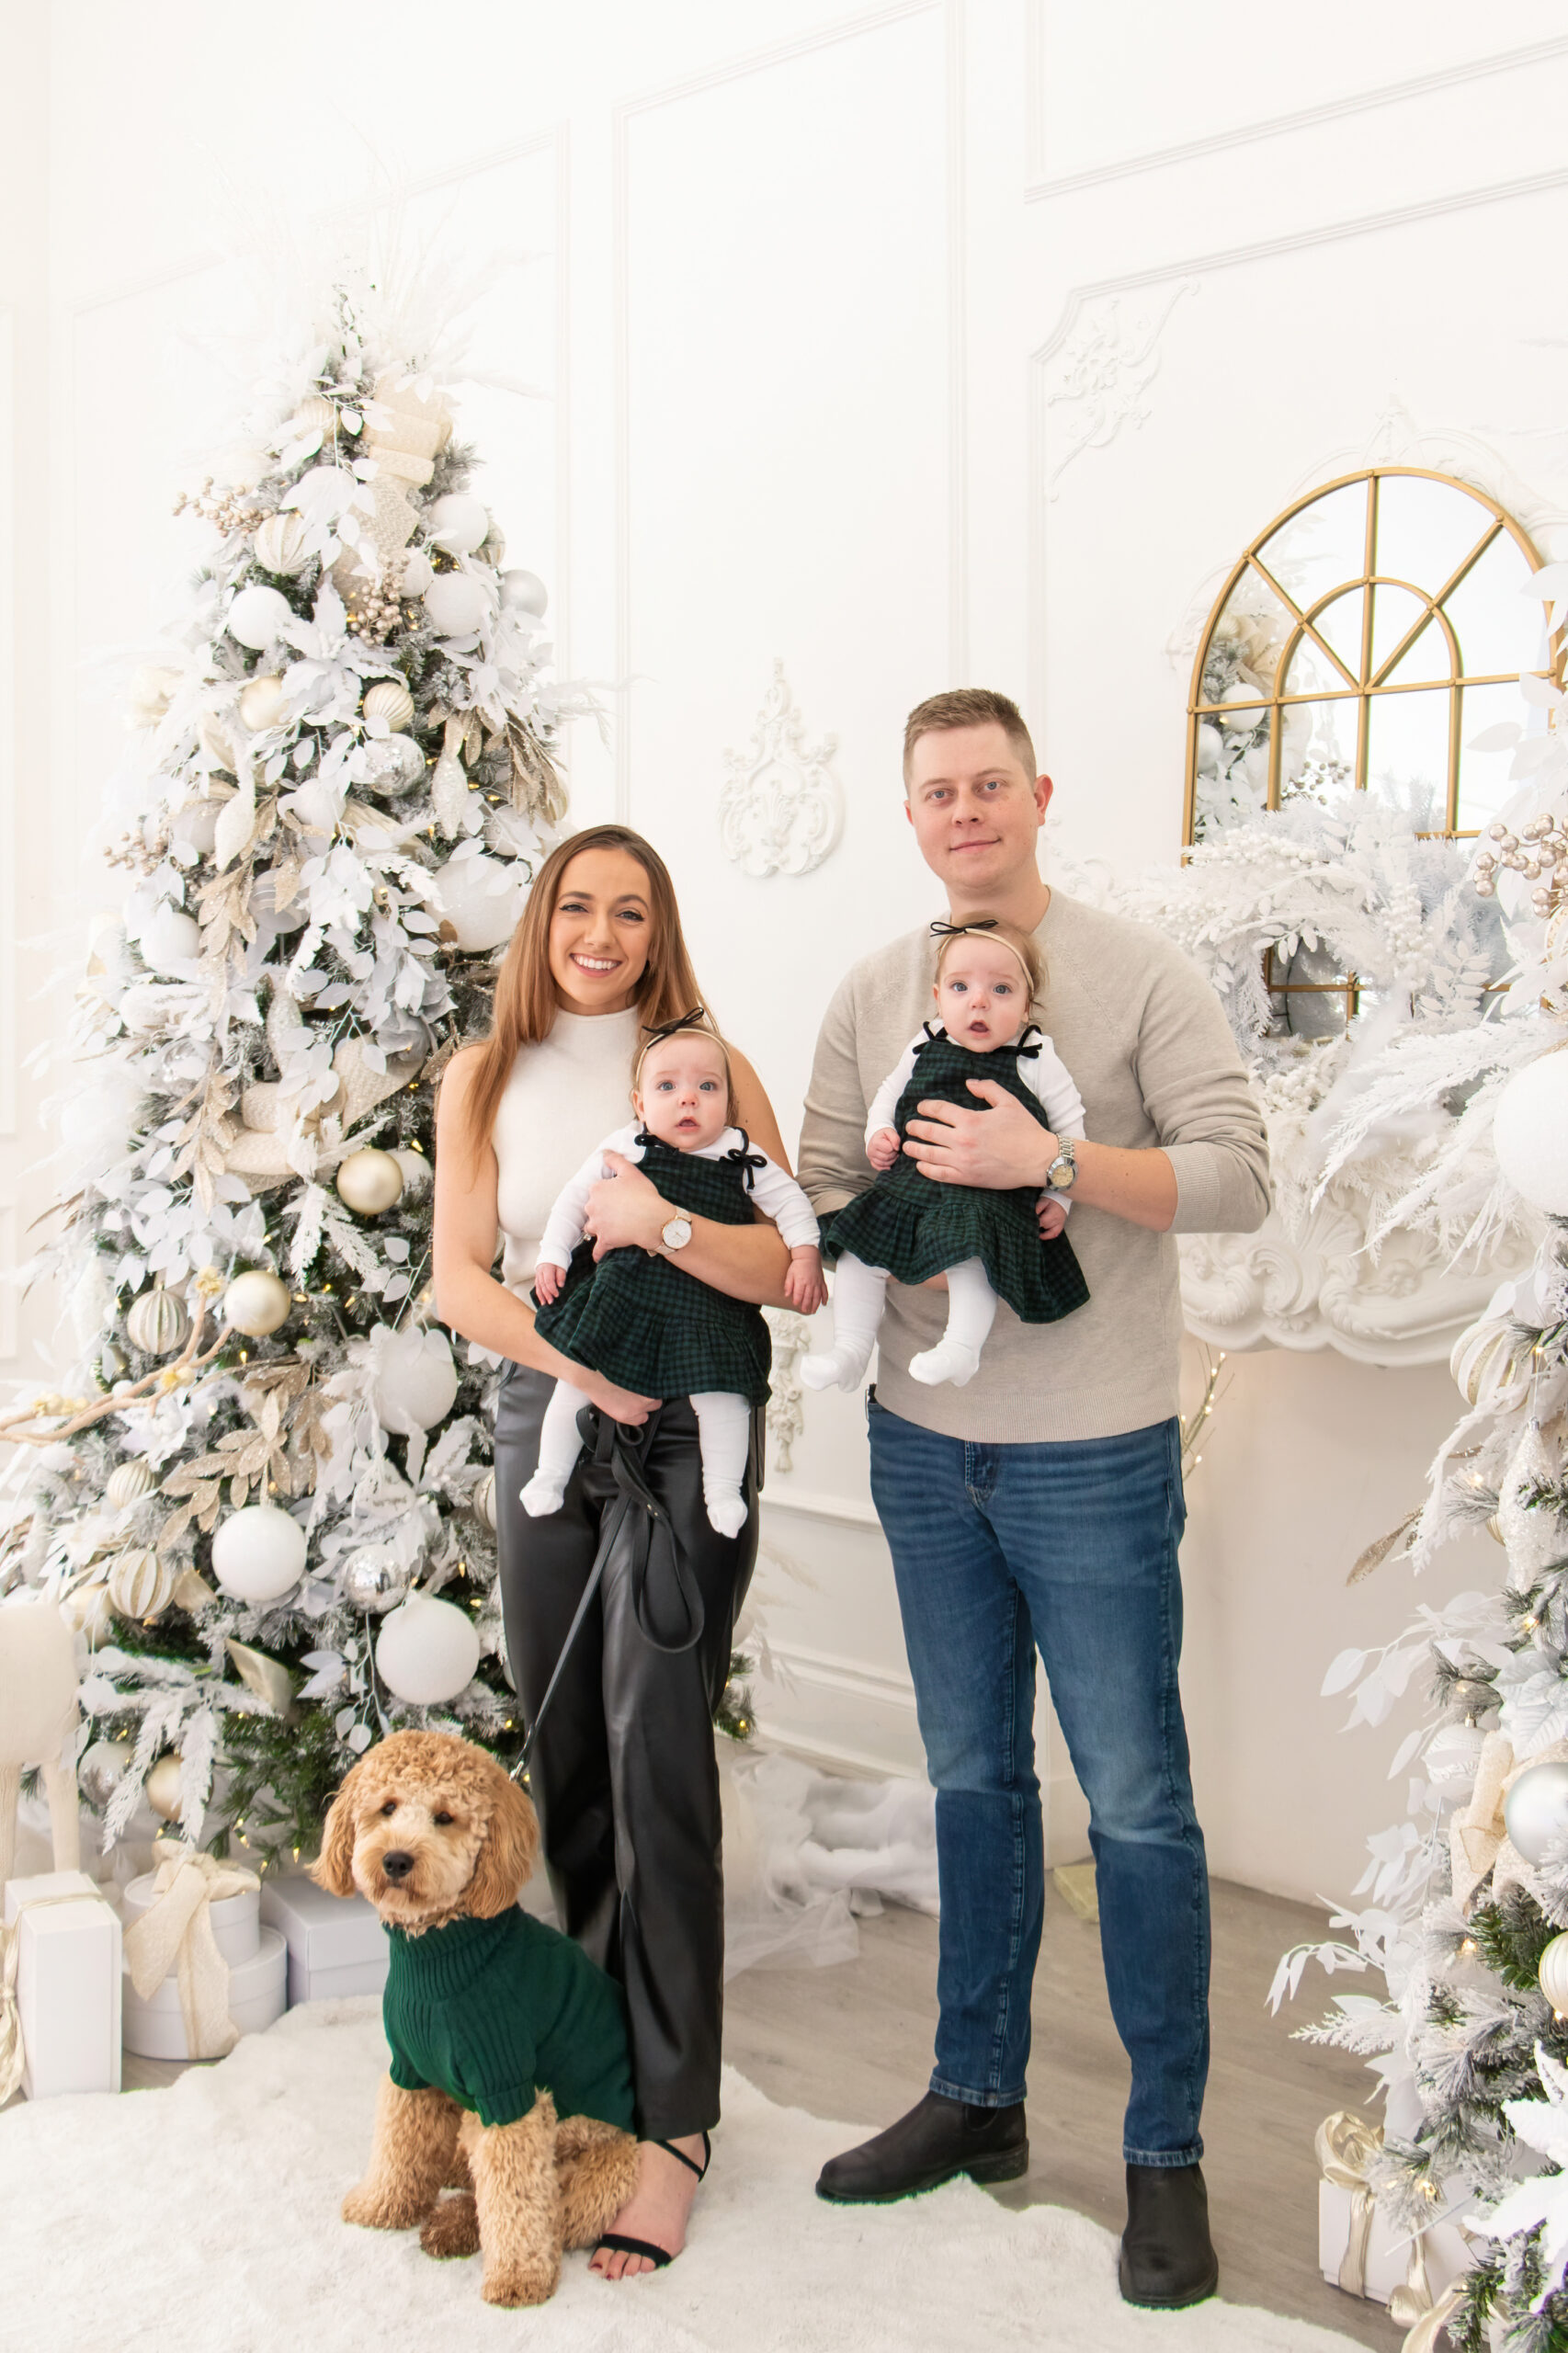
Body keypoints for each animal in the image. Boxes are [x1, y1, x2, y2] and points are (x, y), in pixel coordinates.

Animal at [313, 1730, 639, 2308]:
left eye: (445, 1817)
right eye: (387, 1807)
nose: (396, 1860)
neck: (441, 1947)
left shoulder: (509, 2092)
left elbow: (516, 2200)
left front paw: (518, 2278)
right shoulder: (411, 2073)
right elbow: (398, 2148)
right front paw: (382, 2206)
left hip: (603, 2168)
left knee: (550, 2208)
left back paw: (458, 2225)